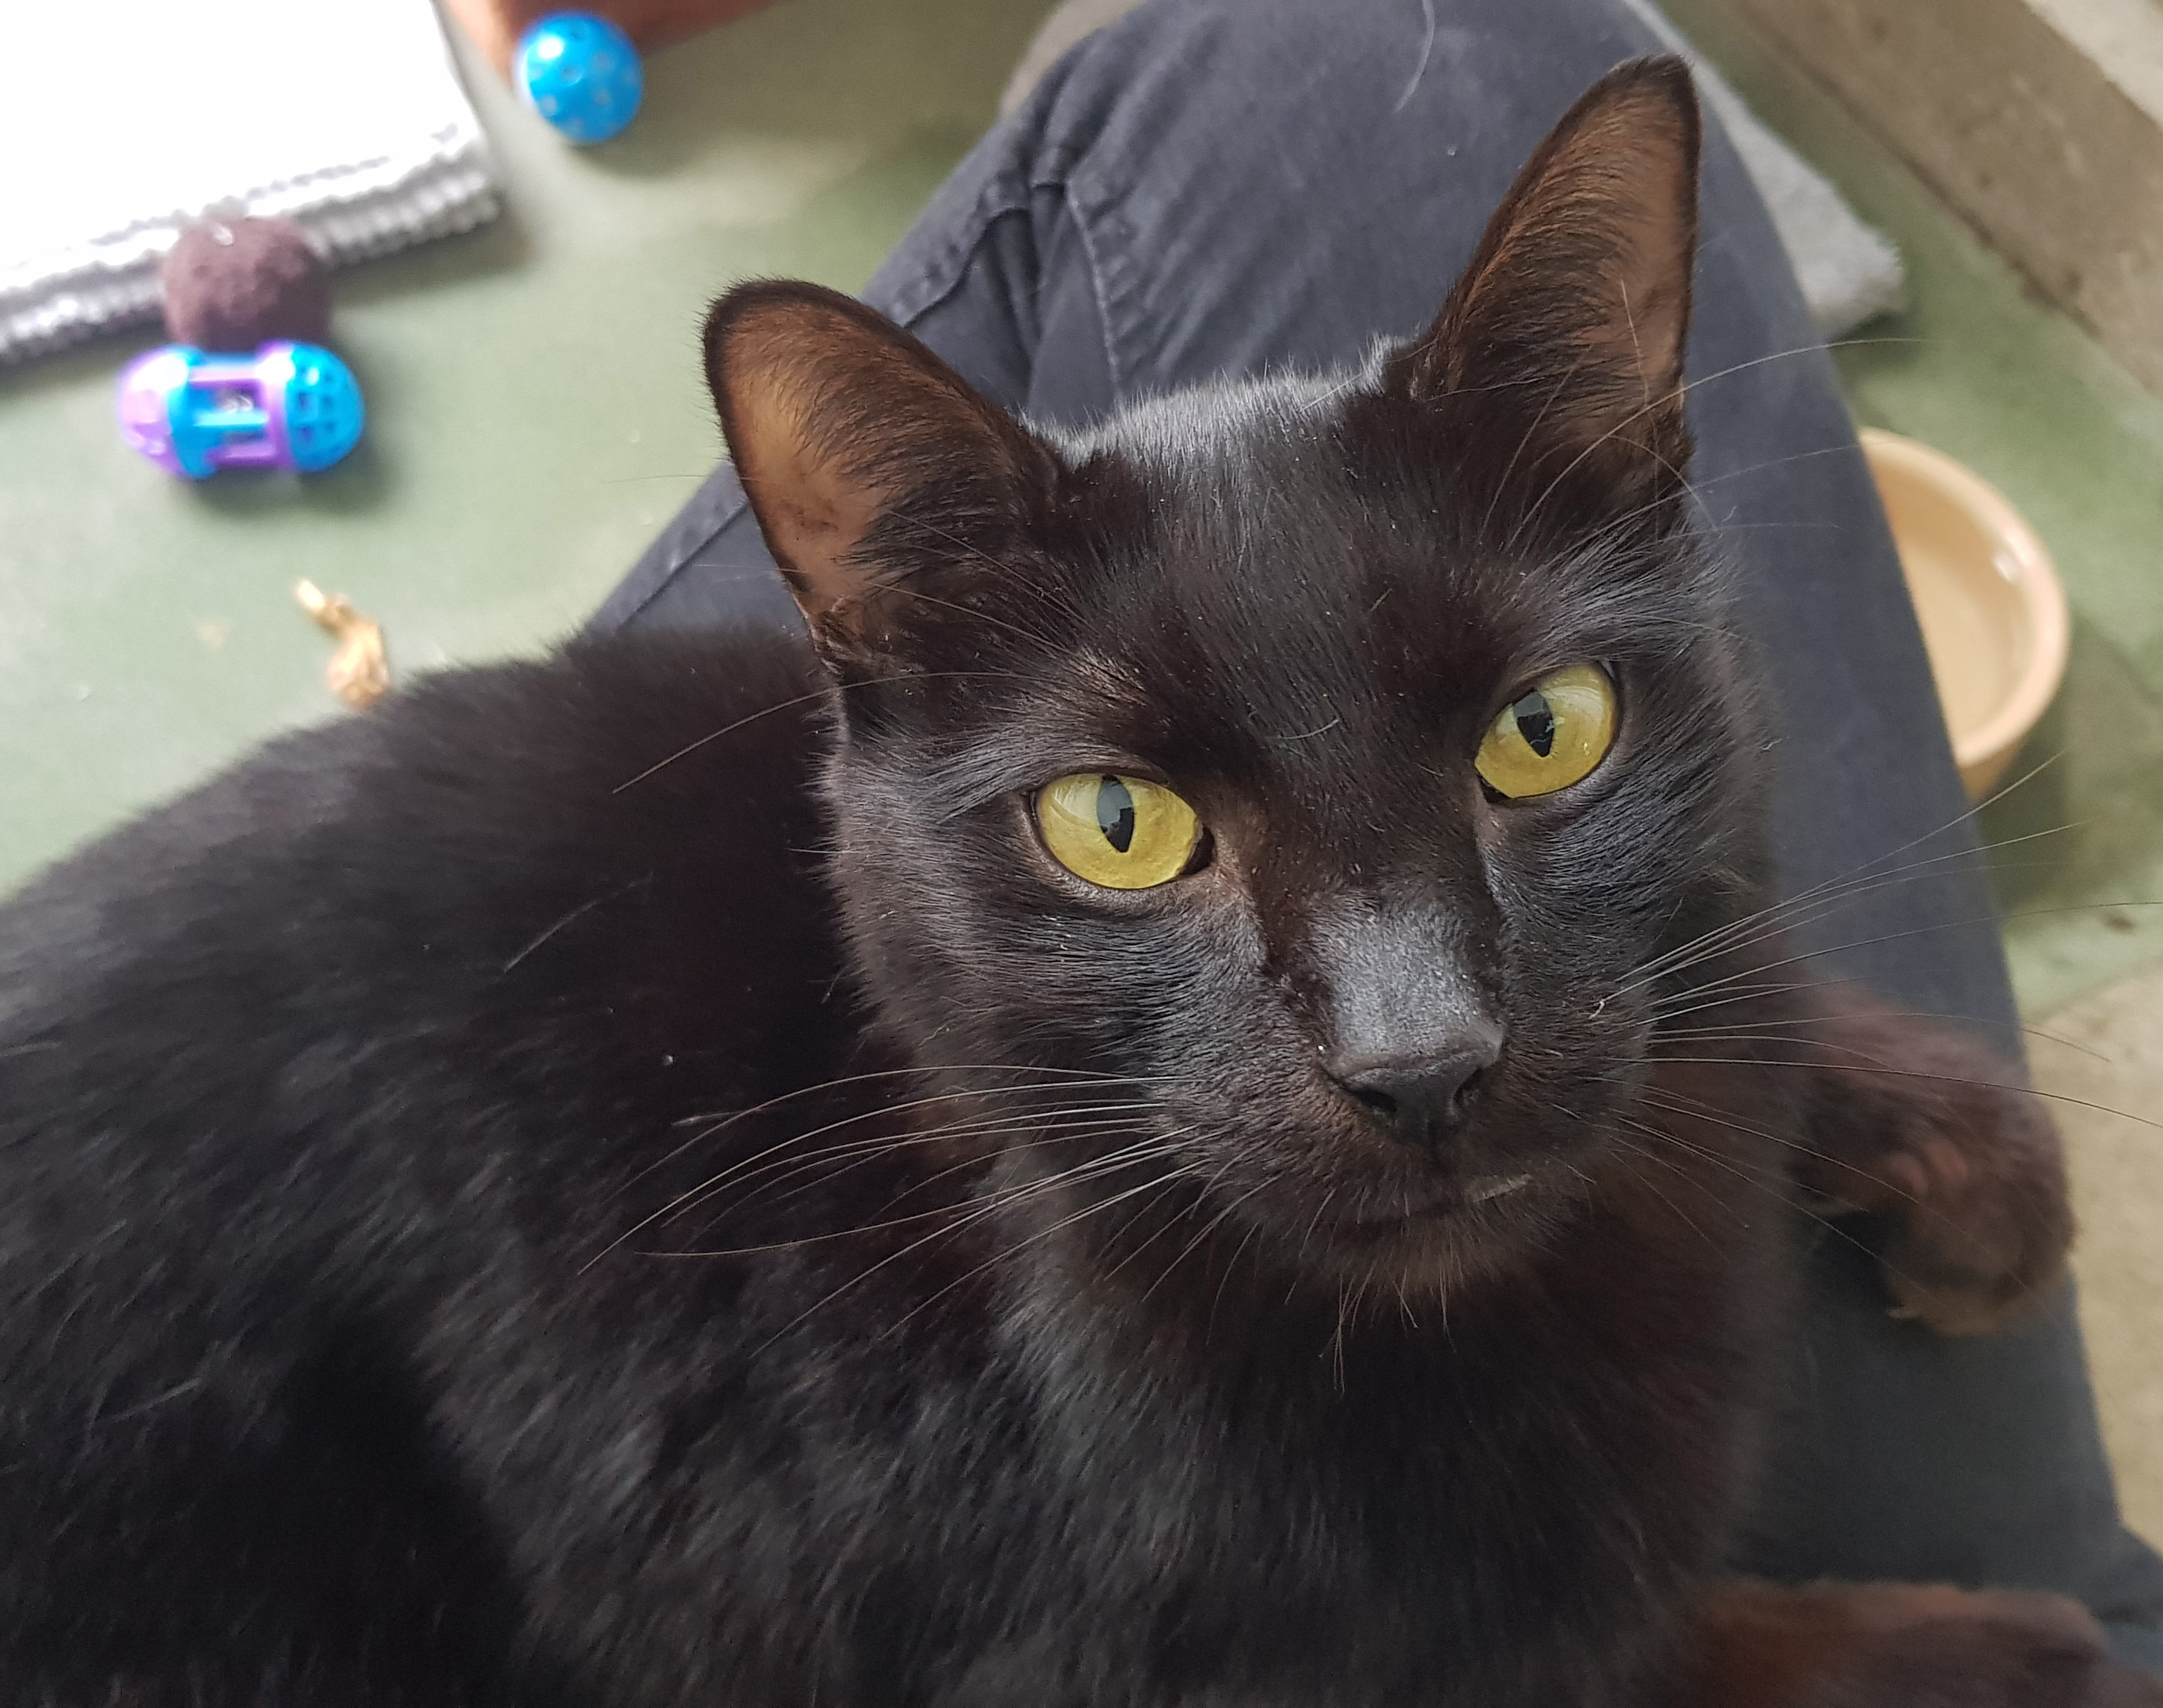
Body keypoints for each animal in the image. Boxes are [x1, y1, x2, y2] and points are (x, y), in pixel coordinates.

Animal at [0, 56, 2137, 1708]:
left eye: (1544, 731)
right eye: (1119, 827)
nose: (1424, 1060)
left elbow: (1729, 984)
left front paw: (1962, 1149)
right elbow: (1657, 1644)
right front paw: (1998, 1653)